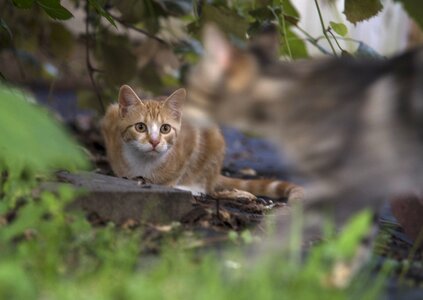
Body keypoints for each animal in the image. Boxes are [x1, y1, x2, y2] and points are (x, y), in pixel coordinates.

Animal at [100, 84, 304, 202]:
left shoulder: (191, 141)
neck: (144, 163)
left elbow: (175, 176)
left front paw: (173, 185)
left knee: (207, 184)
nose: (155, 142)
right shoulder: (110, 120)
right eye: (140, 127)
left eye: (165, 128)